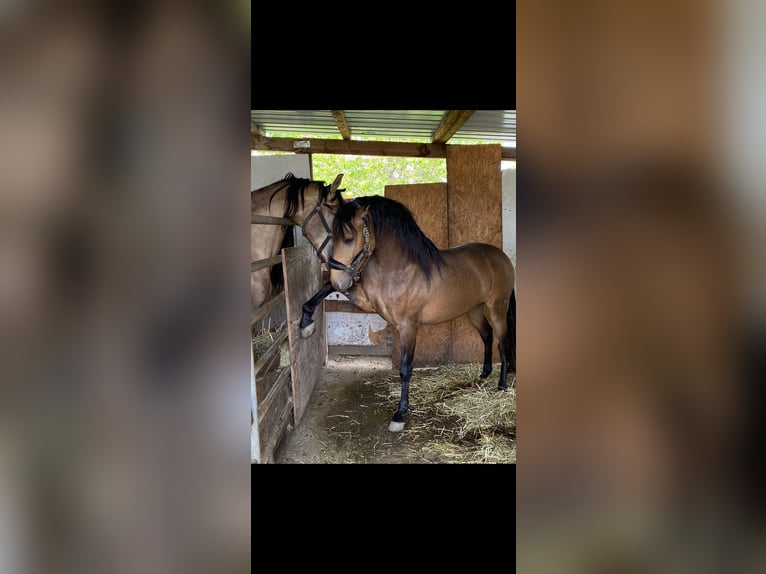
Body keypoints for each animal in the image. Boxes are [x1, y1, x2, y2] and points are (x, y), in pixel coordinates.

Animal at [328, 197, 516, 432]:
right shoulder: (375, 309)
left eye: (348, 238)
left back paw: (502, 385)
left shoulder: (409, 326)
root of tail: (502, 257)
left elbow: (405, 368)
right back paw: (484, 374)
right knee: (488, 337)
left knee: (503, 342)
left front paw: (400, 414)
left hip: (496, 309)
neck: (402, 270)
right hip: (475, 310)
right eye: (332, 236)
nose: (337, 282)